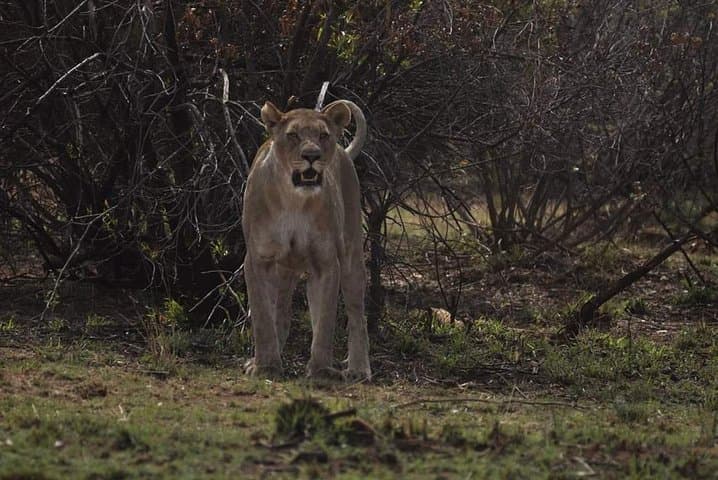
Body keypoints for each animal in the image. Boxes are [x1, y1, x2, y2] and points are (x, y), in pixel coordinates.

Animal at [241, 99, 371, 381]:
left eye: (323, 135)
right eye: (293, 135)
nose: (312, 156)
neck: (294, 201)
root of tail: (345, 152)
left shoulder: (326, 263)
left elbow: (325, 320)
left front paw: (321, 370)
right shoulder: (258, 259)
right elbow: (262, 315)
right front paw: (265, 365)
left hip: (352, 258)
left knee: (357, 316)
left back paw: (358, 368)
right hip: (283, 270)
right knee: (280, 313)